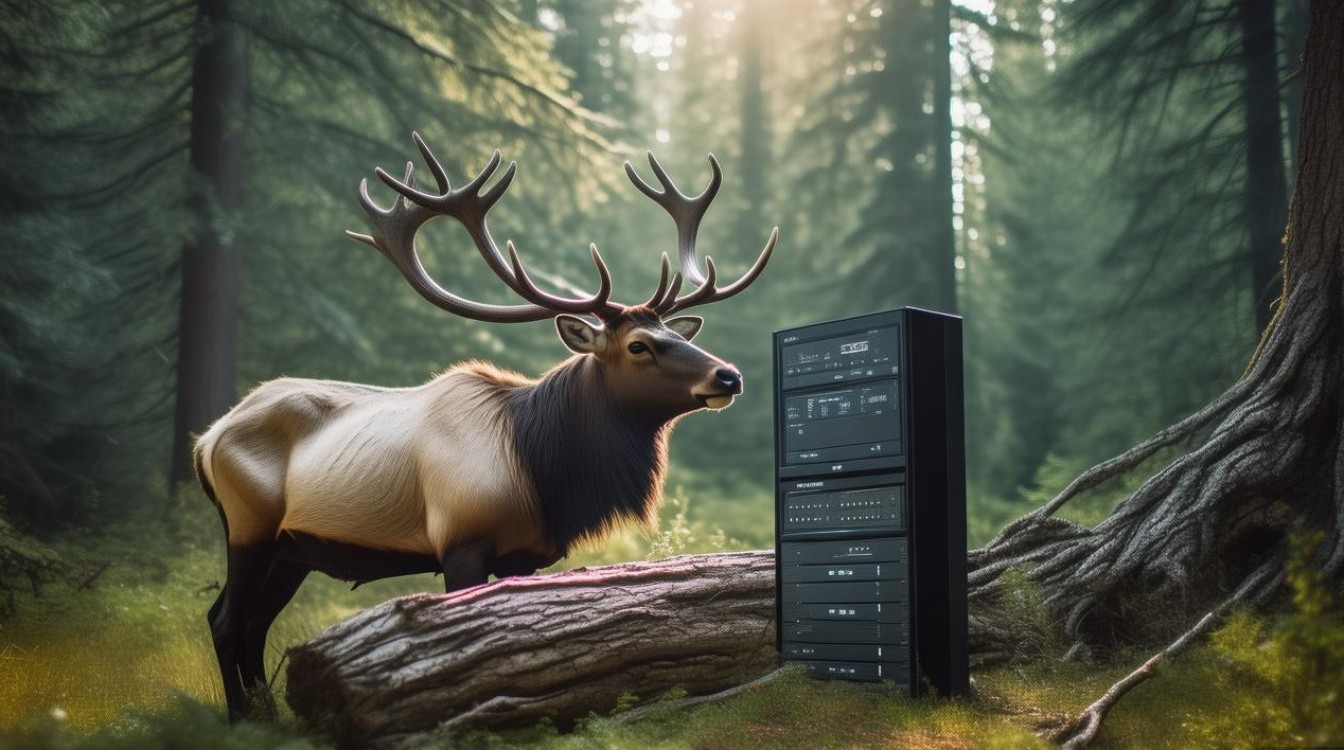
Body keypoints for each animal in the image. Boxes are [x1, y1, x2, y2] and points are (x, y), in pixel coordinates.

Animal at [193, 133, 778, 720]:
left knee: (252, 623)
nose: (729, 375)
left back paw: (268, 718)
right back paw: (242, 718)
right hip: (249, 527)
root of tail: (205, 441)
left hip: (293, 549)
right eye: (639, 345)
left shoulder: (526, 556)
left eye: (676, 335)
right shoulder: (461, 540)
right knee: (226, 621)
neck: (544, 475)